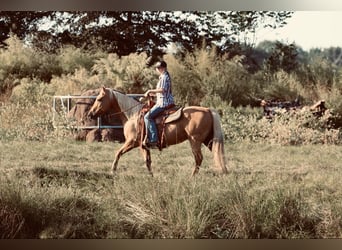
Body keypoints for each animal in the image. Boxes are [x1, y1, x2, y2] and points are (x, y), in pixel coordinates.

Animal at [88, 87, 228, 177]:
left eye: (99, 99)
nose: (90, 114)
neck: (132, 115)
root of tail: (207, 110)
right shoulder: (144, 145)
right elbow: (148, 161)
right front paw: (152, 176)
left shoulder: (133, 142)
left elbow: (118, 153)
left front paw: (113, 170)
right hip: (208, 140)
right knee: (218, 154)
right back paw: (224, 172)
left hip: (195, 141)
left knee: (199, 158)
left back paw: (192, 176)